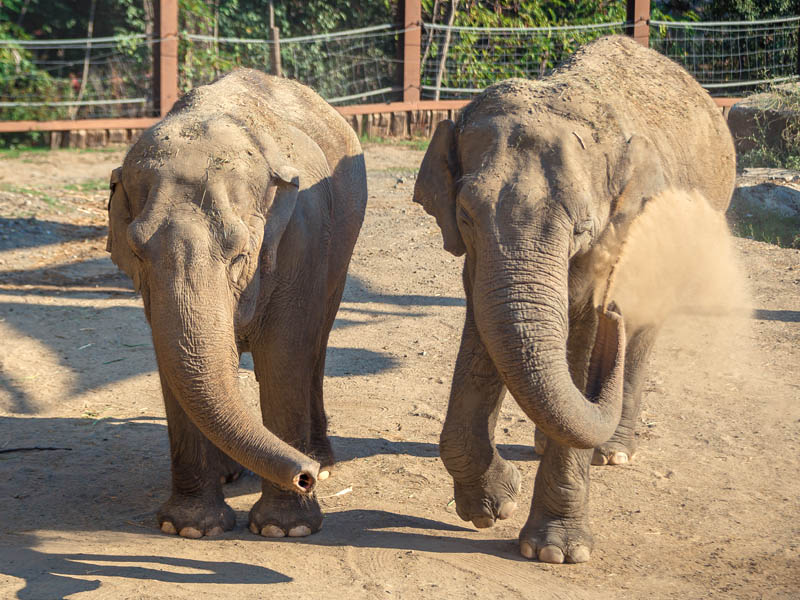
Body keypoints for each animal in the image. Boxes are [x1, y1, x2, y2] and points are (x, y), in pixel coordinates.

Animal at [108, 69, 368, 540]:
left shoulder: (302, 234)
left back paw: (322, 461)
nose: (302, 475)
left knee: (317, 340)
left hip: (344, 240)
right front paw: (190, 528)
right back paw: (234, 472)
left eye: (239, 254)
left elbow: (283, 355)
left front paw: (285, 529)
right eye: (136, 252)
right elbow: (171, 359)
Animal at [416, 36, 736, 564]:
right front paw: (494, 505)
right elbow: (485, 324)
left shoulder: (613, 235)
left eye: (583, 226)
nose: (613, 314)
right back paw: (545, 445)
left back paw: (614, 452)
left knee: (640, 334)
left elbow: (584, 331)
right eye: (463, 215)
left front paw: (555, 553)